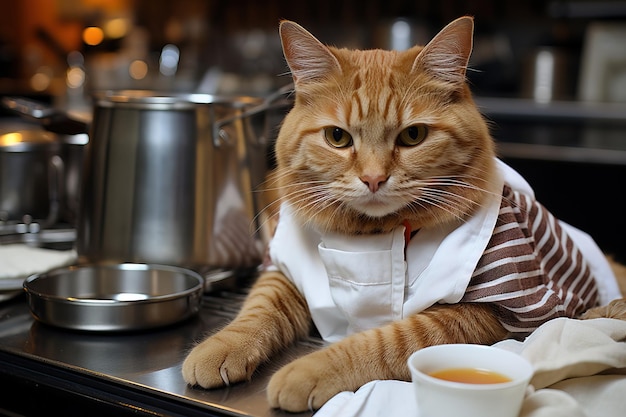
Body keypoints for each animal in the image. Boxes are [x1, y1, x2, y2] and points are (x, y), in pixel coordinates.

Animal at [182, 16, 624, 412]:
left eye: (413, 136)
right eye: (337, 138)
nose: (374, 179)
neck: (370, 237)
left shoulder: (490, 309)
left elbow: (384, 342)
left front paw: (308, 371)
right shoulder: (284, 270)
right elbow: (258, 309)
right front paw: (222, 347)